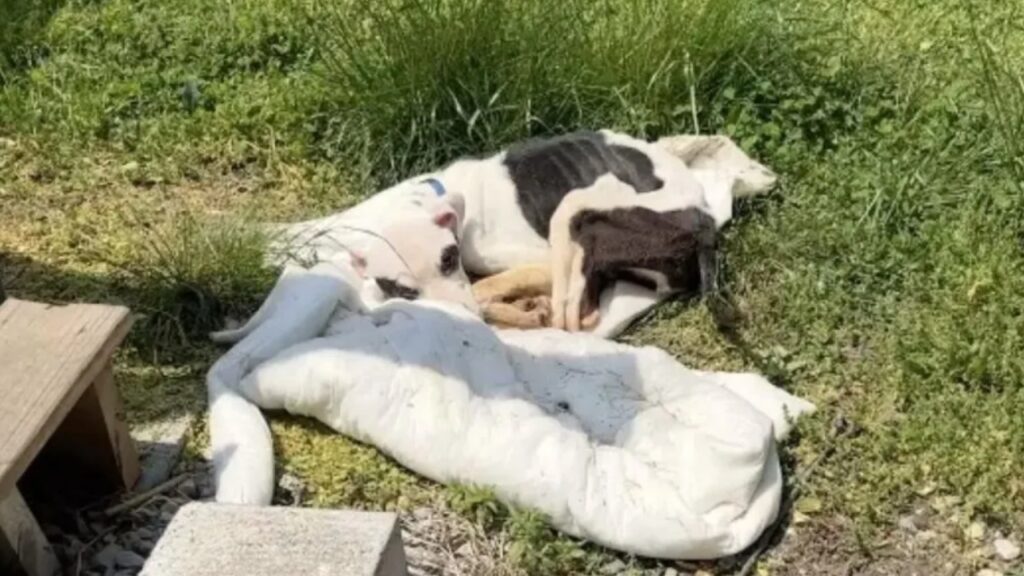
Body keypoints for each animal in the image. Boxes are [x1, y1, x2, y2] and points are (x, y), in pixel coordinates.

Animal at [276, 129, 770, 336]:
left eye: (448, 259)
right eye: (401, 290)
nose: (464, 323)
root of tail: (705, 226)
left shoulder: (534, 262)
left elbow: (486, 290)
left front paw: (509, 309)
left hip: (578, 209)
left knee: (572, 320)